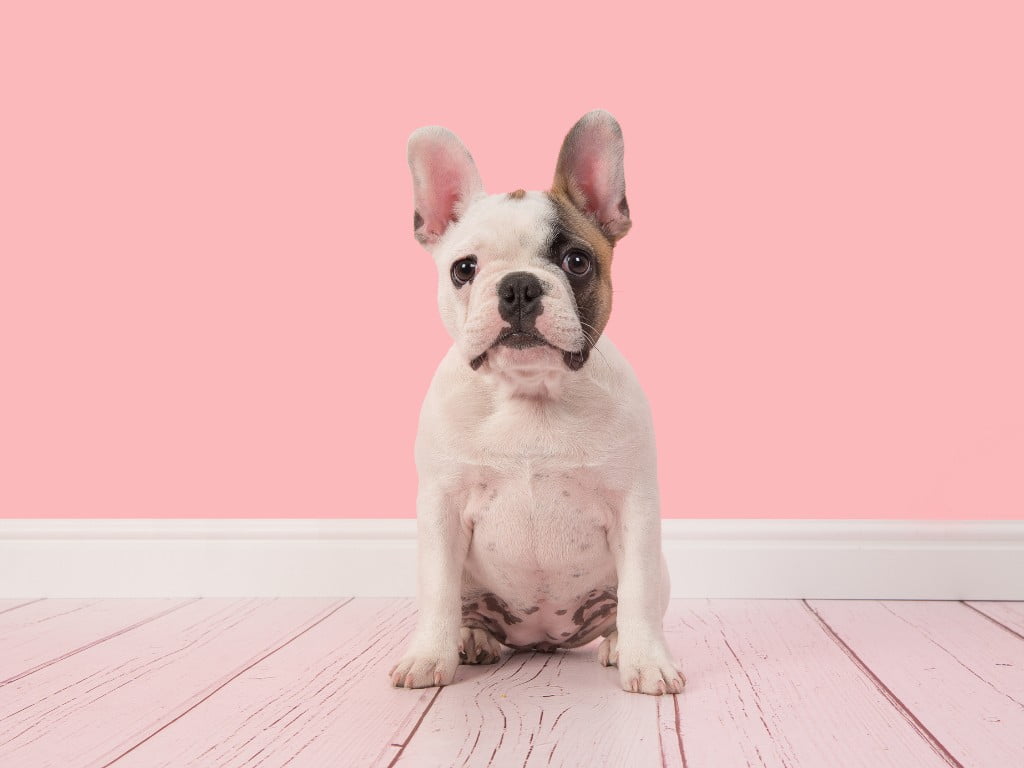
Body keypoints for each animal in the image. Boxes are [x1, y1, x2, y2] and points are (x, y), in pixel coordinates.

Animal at [387, 109, 684, 696]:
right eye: (463, 269)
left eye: (577, 261)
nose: (520, 286)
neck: (530, 394)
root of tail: (542, 640)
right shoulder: (441, 509)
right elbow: (437, 594)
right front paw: (428, 656)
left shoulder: (635, 508)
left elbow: (638, 596)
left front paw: (648, 662)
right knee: (464, 608)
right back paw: (472, 639)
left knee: (628, 608)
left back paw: (619, 645)